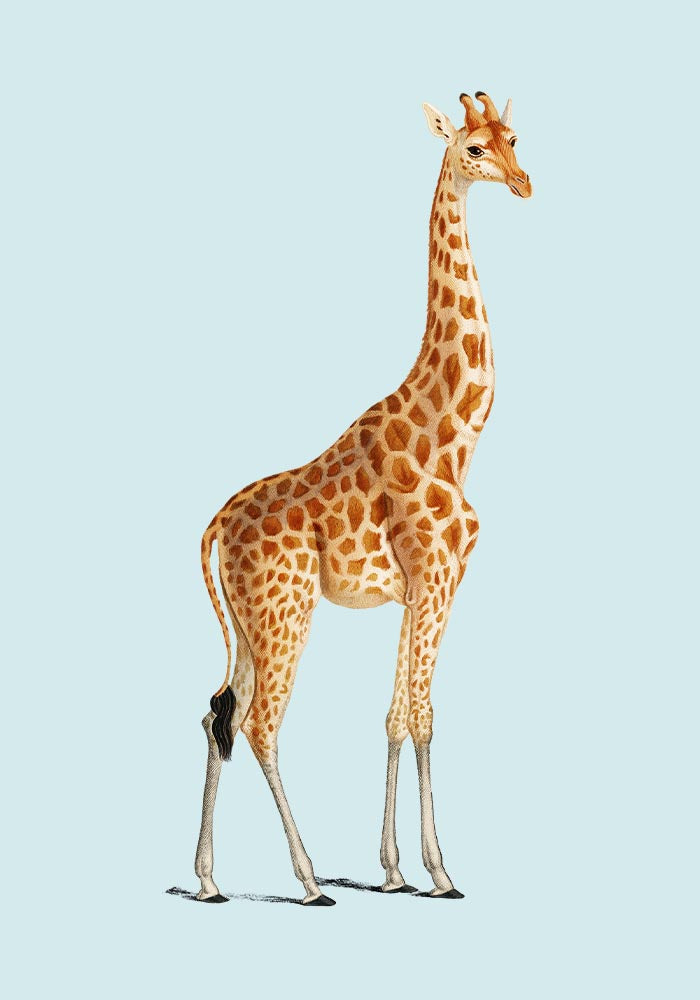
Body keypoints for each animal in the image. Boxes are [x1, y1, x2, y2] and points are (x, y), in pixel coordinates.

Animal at [193, 91, 531, 905]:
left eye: (515, 138)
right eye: (473, 149)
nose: (524, 183)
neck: (454, 435)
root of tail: (215, 524)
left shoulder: (419, 589)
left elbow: (395, 716)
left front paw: (395, 870)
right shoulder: (437, 578)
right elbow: (426, 715)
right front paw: (441, 873)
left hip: (250, 622)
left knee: (218, 712)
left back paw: (210, 880)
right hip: (285, 611)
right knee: (260, 724)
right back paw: (310, 881)